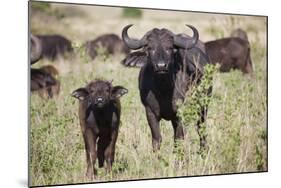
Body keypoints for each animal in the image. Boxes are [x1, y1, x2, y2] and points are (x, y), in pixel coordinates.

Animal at [120, 24, 210, 152]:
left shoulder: (179, 113)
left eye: (169, 48)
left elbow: (179, 139)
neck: (163, 90)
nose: (161, 66)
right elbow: (156, 139)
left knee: (201, 128)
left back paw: (203, 151)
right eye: (150, 48)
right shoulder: (150, 112)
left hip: (203, 105)